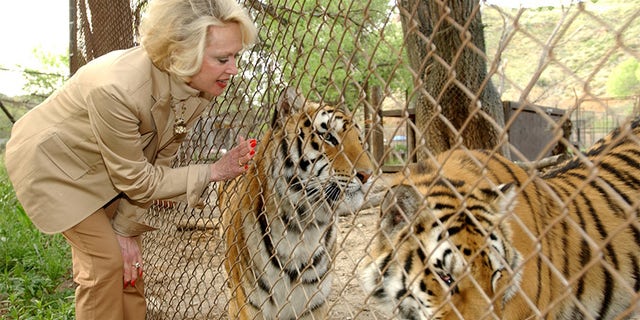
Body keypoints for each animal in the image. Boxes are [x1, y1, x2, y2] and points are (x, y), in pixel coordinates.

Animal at [220, 87, 376, 320]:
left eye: (360, 140)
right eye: (329, 137)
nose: (368, 175)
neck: (302, 227)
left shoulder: (314, 306)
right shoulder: (247, 305)